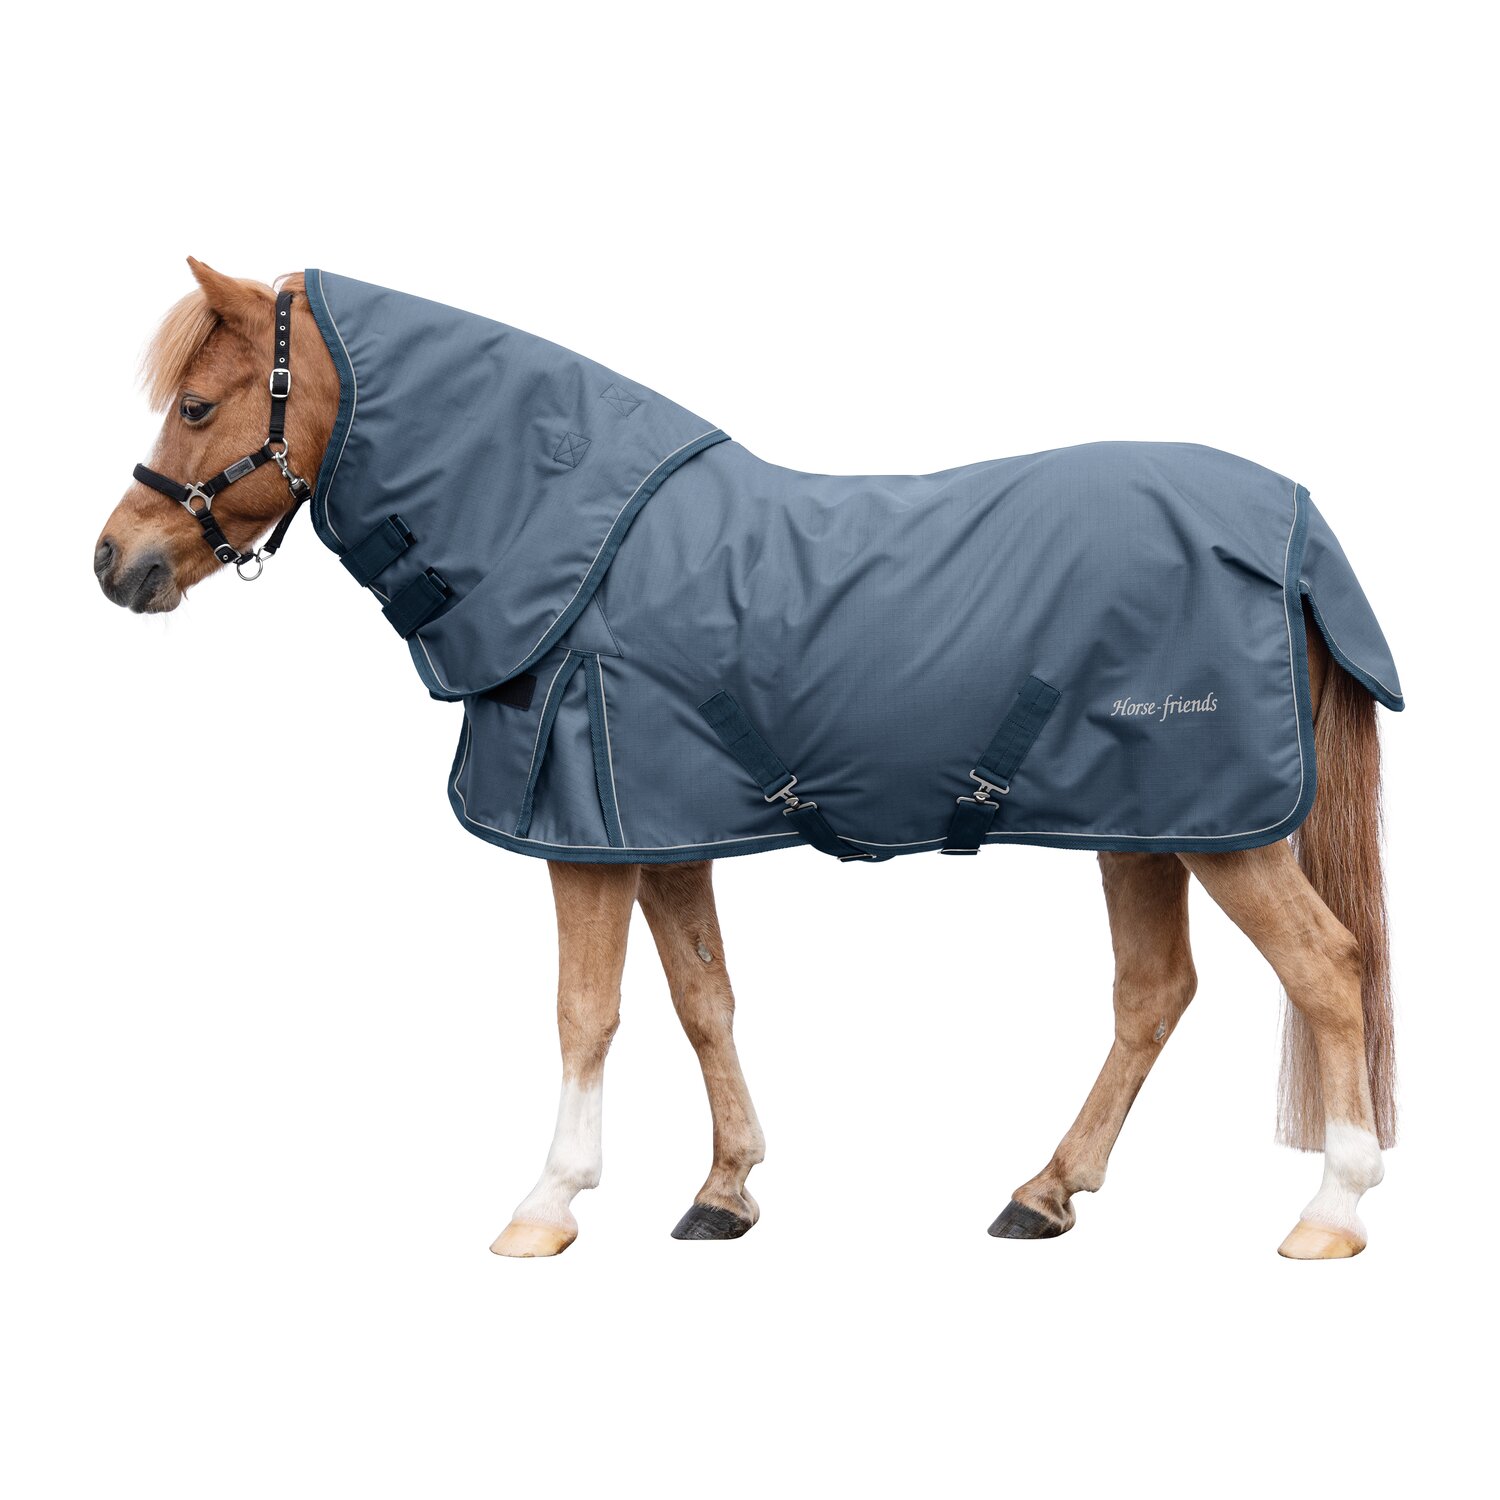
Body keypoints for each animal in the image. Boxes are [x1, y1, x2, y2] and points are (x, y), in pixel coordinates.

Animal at [95, 259, 1399, 1259]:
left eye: (197, 409)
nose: (115, 564)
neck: (577, 554)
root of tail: (1297, 527)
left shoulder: (587, 839)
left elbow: (585, 1012)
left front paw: (548, 1203)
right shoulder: (666, 831)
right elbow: (702, 1001)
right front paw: (724, 1192)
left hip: (1216, 832)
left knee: (1328, 970)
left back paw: (1331, 1212)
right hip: (1146, 826)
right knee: (1154, 994)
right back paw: (1042, 1194)